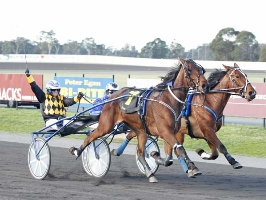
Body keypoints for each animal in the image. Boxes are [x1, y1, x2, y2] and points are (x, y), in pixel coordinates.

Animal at [69, 57, 210, 183]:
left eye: (201, 69)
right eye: (189, 69)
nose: (205, 85)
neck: (168, 99)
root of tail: (112, 98)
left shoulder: (170, 132)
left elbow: (169, 158)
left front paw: (155, 156)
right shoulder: (165, 131)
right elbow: (179, 148)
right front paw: (193, 168)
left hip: (140, 130)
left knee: (140, 153)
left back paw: (150, 174)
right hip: (106, 125)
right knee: (91, 136)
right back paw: (77, 151)